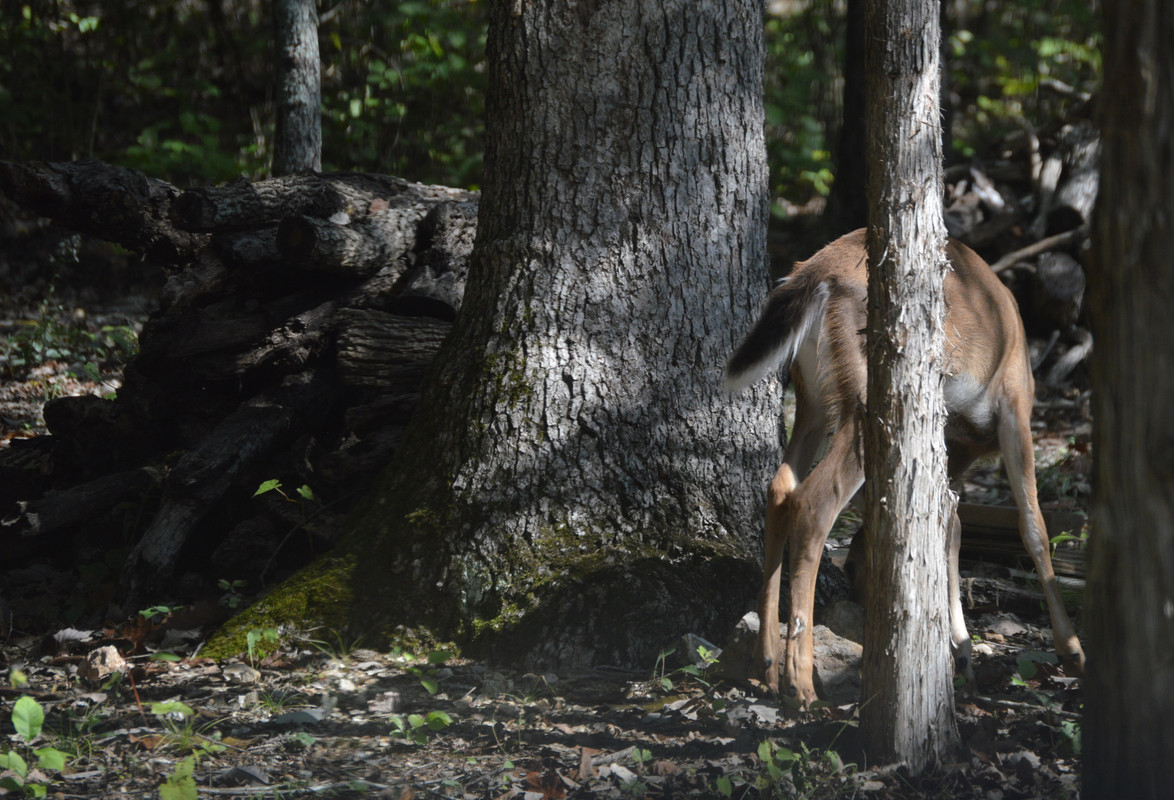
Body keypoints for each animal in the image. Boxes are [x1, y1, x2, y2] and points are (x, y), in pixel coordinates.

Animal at [724, 228, 1085, 706]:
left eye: (857, 567)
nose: (860, 590)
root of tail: (814, 275)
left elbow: (949, 526)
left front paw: (961, 653)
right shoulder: (1015, 404)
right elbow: (1034, 528)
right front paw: (1072, 649)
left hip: (812, 396)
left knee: (780, 487)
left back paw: (765, 666)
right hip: (867, 395)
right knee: (813, 503)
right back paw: (800, 683)